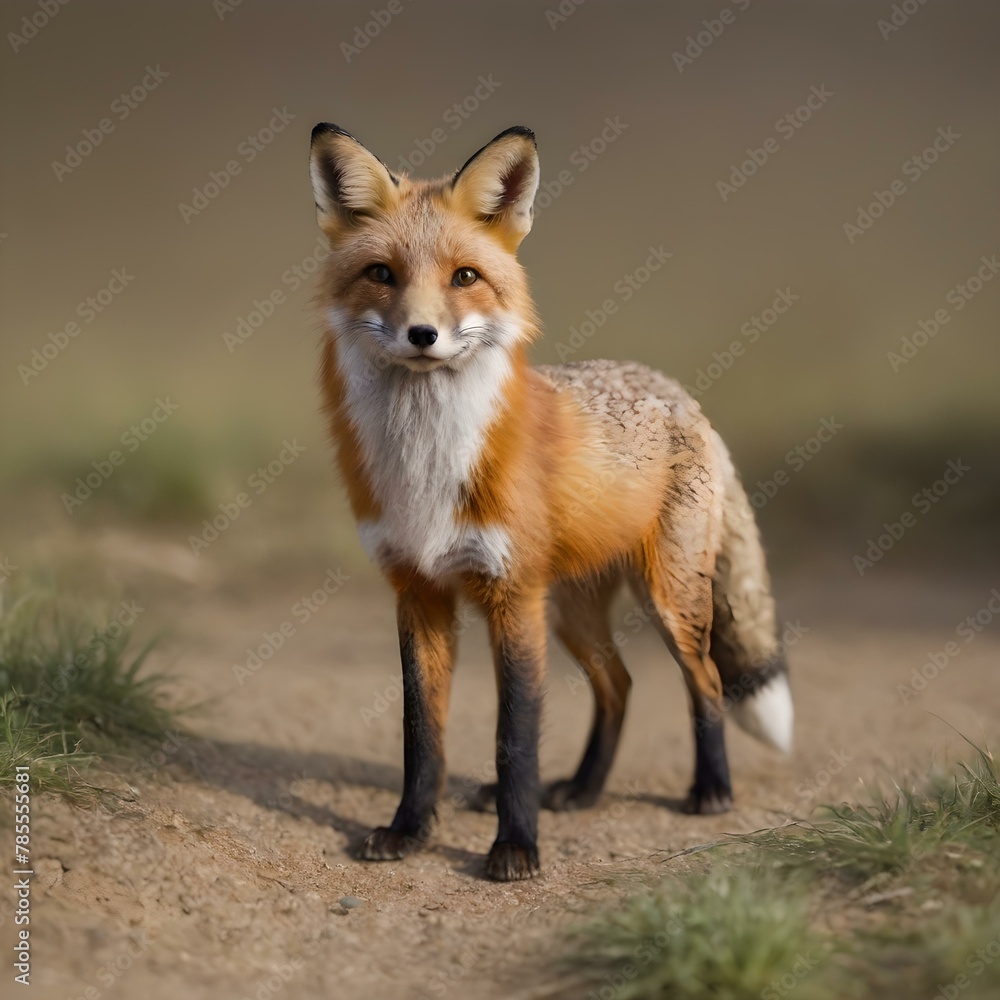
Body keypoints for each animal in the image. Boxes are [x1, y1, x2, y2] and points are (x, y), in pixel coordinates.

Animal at [308, 123, 793, 881]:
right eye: (381, 274)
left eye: (464, 277)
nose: (423, 335)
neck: (428, 465)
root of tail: (680, 393)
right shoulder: (418, 590)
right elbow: (422, 734)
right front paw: (410, 829)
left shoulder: (513, 598)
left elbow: (516, 736)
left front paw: (515, 847)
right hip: (573, 611)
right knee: (620, 684)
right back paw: (584, 789)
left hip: (667, 600)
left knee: (707, 680)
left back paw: (710, 790)